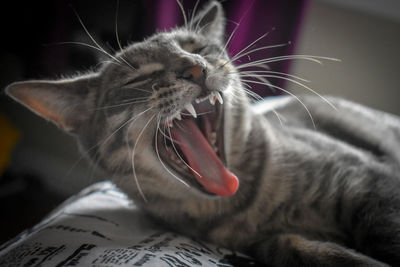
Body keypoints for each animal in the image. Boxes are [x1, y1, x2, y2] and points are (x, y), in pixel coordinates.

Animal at [5, 1, 400, 266]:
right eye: (137, 77)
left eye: (196, 48)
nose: (195, 68)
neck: (244, 205)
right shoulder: (266, 242)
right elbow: (300, 250)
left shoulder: (371, 183)